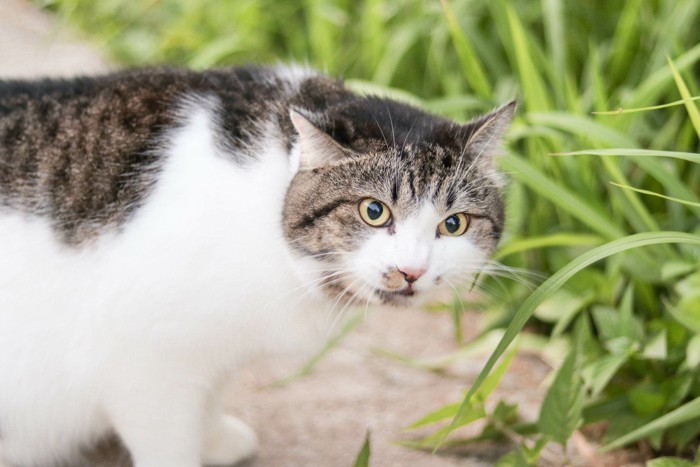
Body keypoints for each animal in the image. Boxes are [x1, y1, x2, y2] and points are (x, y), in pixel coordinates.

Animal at [0, 65, 516, 467]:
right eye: (374, 211)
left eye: (453, 224)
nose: (412, 271)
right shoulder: (146, 362)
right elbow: (169, 442)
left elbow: (209, 394)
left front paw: (213, 439)